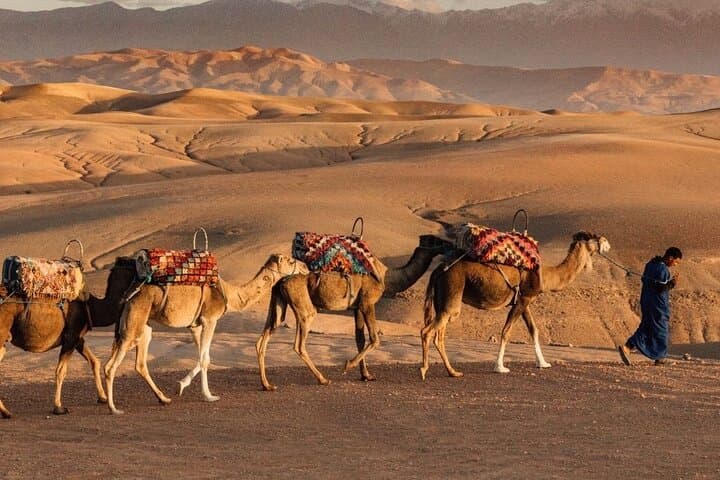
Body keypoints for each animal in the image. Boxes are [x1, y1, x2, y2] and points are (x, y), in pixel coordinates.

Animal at [0, 257, 137, 418]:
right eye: (133, 265)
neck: (91, 306)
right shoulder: (71, 337)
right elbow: (61, 371)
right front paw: (58, 407)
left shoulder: (77, 338)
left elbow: (94, 362)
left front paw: (102, 397)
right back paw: (6, 412)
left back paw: (5, 412)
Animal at [104, 253, 308, 414]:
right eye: (290, 260)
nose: (305, 267)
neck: (229, 294)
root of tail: (128, 293)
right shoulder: (210, 319)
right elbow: (204, 359)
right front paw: (209, 396)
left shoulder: (195, 325)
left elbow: (205, 357)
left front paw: (180, 386)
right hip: (135, 319)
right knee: (111, 366)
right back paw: (114, 408)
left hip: (143, 325)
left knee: (138, 363)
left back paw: (164, 399)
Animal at [256, 234, 452, 391]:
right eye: (436, 240)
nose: (450, 245)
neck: (386, 277)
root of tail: (281, 281)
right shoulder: (368, 302)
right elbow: (374, 338)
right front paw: (347, 365)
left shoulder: (357, 307)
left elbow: (360, 339)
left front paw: (366, 375)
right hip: (304, 307)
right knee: (299, 344)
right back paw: (323, 379)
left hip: (278, 303)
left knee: (264, 338)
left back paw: (267, 385)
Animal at [420, 231, 611, 379]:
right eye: (594, 236)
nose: (607, 243)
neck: (545, 275)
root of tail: (438, 270)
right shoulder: (523, 299)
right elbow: (506, 332)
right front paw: (500, 367)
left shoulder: (524, 300)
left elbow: (534, 330)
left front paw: (543, 363)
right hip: (452, 291)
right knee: (427, 331)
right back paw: (424, 370)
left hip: (443, 299)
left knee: (439, 335)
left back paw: (453, 372)